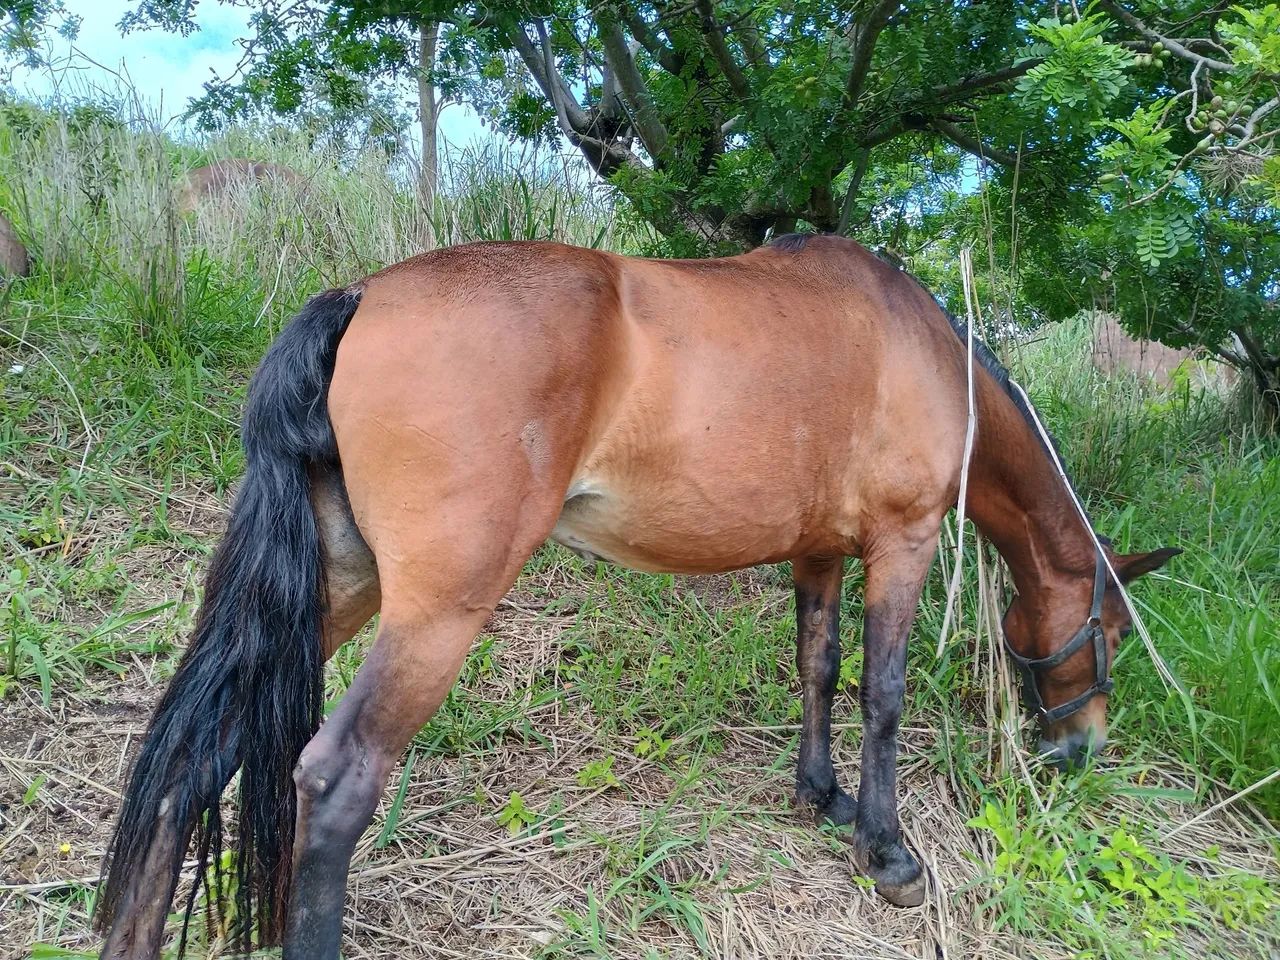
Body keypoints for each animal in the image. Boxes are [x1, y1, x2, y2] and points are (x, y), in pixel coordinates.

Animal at [95, 233, 1178, 960]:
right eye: (1110, 628)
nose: (1081, 749)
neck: (920, 346)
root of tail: (360, 296)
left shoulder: (818, 552)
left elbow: (817, 668)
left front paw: (818, 794)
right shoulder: (900, 544)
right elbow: (882, 696)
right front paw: (886, 851)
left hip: (337, 591)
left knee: (200, 749)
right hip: (431, 617)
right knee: (332, 780)